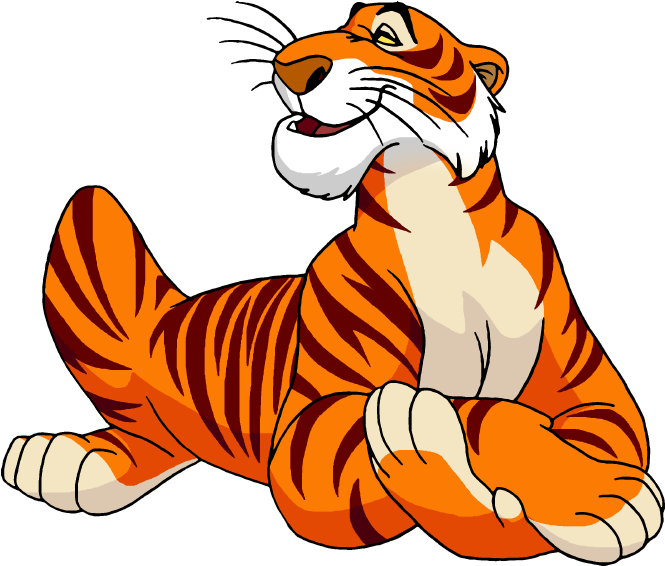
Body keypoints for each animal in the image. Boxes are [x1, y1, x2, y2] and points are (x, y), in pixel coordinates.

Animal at [3, 2, 662, 562]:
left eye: (387, 34)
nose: (290, 65)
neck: (437, 205)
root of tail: (165, 319)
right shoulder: (308, 427)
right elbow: (483, 416)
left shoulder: (595, 393)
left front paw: (599, 497)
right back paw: (62, 458)